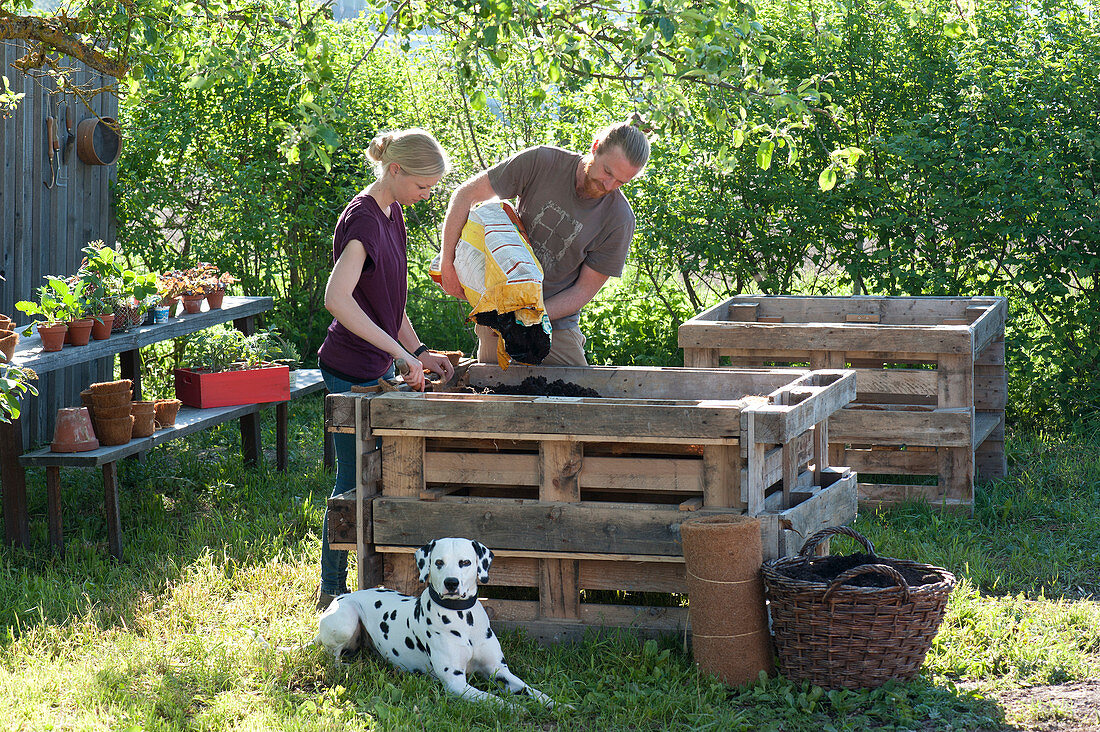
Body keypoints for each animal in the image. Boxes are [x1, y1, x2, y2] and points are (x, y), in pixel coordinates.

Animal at [352, 537, 563, 708]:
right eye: (438, 562)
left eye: (465, 562)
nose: (451, 583)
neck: (461, 617)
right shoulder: (456, 684)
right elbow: (491, 699)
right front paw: (514, 709)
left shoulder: (499, 671)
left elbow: (532, 690)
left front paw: (557, 705)